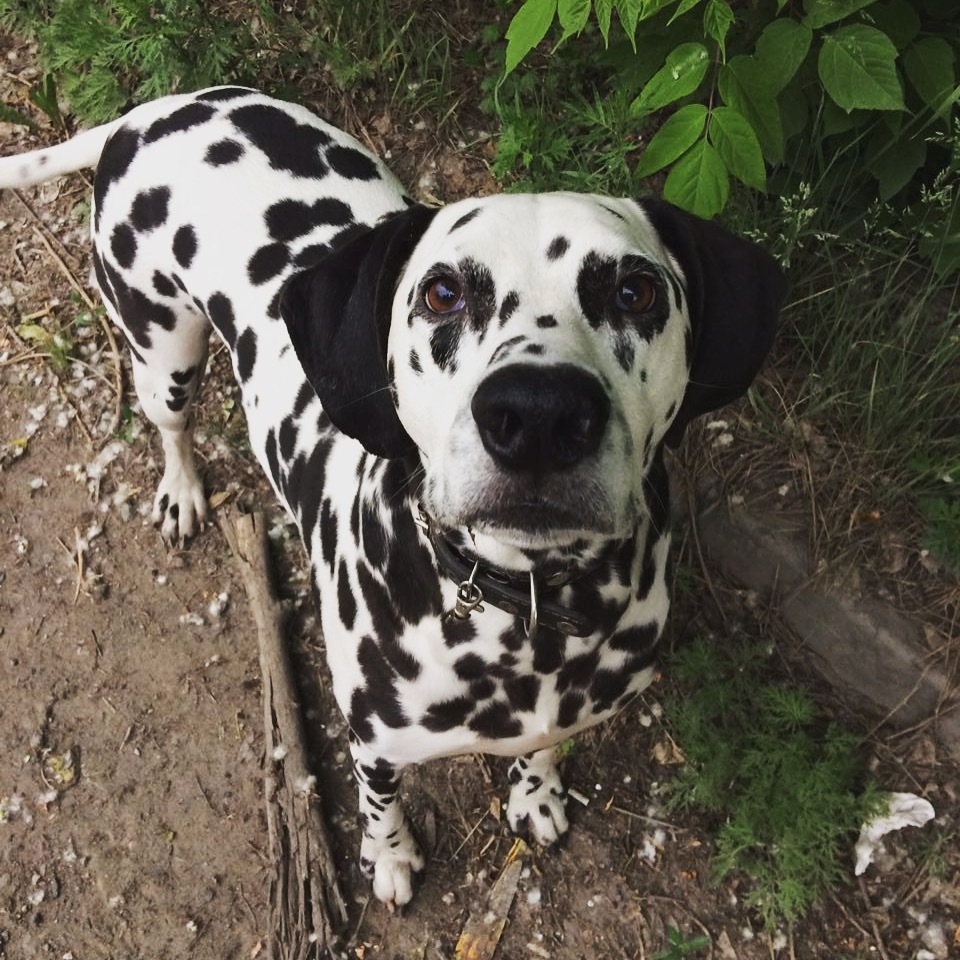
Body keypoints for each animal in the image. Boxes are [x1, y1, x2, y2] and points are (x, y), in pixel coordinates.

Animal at [0, 88, 784, 908]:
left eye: (635, 290)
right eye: (442, 293)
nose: (538, 413)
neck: (525, 612)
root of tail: (153, 111)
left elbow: (544, 751)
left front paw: (536, 793)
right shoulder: (375, 743)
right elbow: (380, 803)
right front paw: (392, 855)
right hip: (164, 351)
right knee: (171, 423)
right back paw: (181, 488)